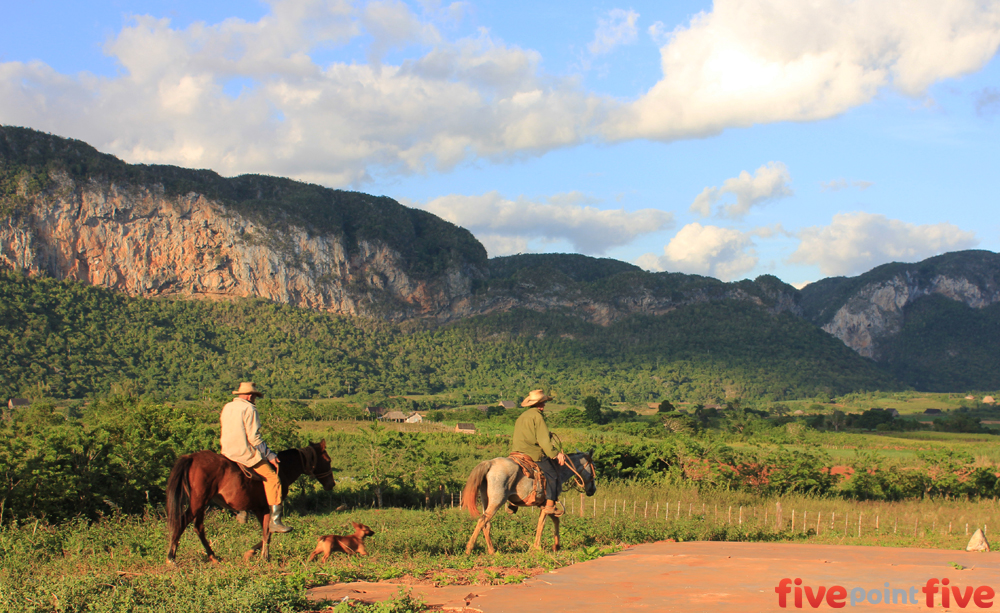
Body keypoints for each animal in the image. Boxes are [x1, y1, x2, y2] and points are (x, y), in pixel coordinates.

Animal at [166, 440, 334, 564]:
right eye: (328, 460)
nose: (331, 484)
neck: (284, 469)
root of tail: (192, 457)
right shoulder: (266, 508)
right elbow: (269, 531)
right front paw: (263, 556)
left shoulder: (259, 509)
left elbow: (266, 532)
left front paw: (253, 553)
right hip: (198, 502)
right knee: (183, 522)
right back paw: (171, 557)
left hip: (202, 503)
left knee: (198, 527)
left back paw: (213, 556)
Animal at [458, 450, 592, 556]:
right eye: (593, 465)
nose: (592, 490)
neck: (558, 471)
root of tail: (490, 463)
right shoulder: (548, 505)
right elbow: (542, 523)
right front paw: (537, 547)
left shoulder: (544, 505)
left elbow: (554, 520)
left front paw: (556, 546)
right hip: (497, 501)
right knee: (482, 520)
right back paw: (469, 549)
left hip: (487, 501)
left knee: (486, 523)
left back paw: (492, 551)